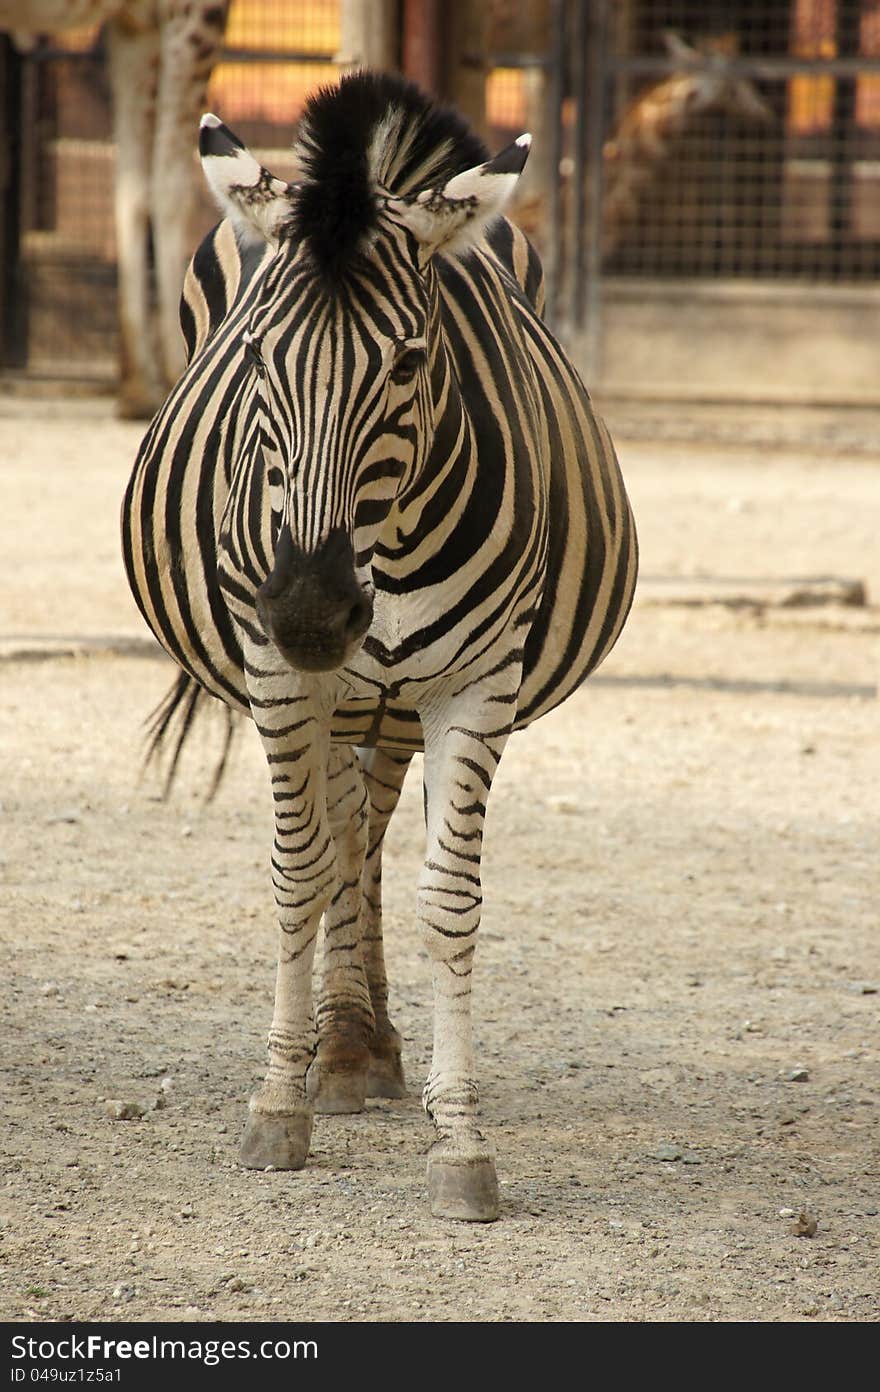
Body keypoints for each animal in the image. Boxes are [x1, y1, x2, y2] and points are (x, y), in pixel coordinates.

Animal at [0, 0, 226, 412]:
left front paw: (136, 384)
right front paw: (176, 371)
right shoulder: (194, 15)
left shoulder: (133, 28)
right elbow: (170, 188)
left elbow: (131, 189)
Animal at [120, 70, 634, 1219]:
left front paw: (461, 1143)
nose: (313, 611)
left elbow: (449, 898)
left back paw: (363, 1041)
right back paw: (339, 1044)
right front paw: (278, 1106)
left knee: (370, 819)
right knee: (341, 826)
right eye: (256, 357)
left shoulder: (476, 685)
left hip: (393, 699)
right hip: (323, 690)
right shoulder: (278, 675)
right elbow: (296, 871)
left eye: (406, 361)